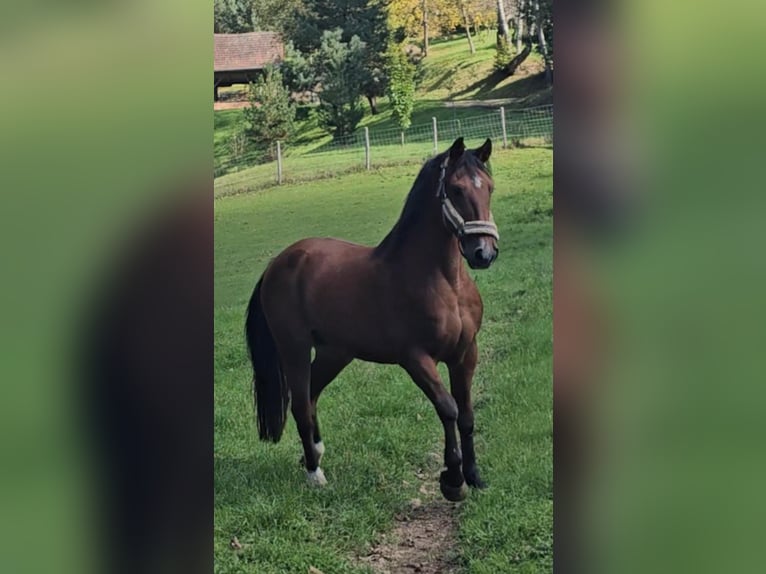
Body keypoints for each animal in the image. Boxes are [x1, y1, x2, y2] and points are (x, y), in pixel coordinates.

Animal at [243, 137, 500, 502]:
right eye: (456, 188)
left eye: (489, 187)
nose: (484, 253)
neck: (444, 282)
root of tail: (277, 263)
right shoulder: (416, 359)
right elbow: (448, 408)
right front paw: (453, 480)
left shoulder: (466, 354)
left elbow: (466, 414)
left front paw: (475, 476)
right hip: (294, 349)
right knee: (301, 404)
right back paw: (314, 473)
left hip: (334, 353)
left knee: (311, 395)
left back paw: (314, 453)